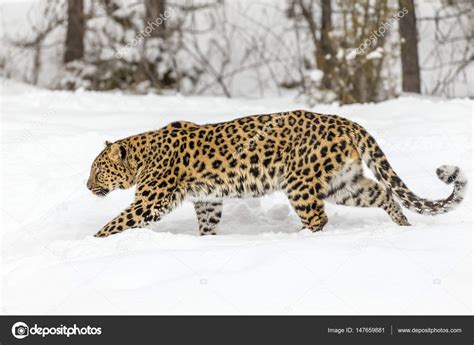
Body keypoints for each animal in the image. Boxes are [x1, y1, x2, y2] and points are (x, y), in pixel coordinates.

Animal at [86, 110, 466, 236]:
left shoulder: (150, 201)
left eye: (98, 169)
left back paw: (295, 239)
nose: (87, 186)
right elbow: (207, 225)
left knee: (318, 219)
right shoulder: (208, 200)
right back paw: (405, 227)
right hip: (343, 184)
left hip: (300, 183)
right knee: (383, 192)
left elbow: (116, 223)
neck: (141, 156)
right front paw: (206, 243)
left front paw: (94, 242)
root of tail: (346, 122)